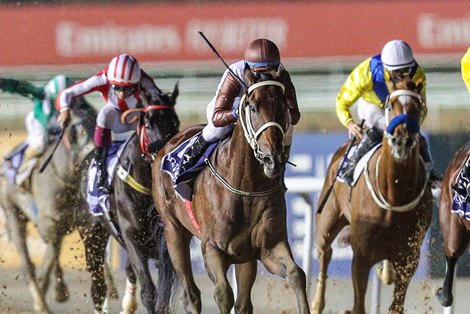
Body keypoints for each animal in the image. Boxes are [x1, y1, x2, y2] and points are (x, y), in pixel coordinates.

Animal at [0, 102, 96, 312]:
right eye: (82, 130)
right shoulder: (49, 223)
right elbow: (51, 251)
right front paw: (45, 294)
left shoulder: (72, 222)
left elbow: (54, 252)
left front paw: (57, 290)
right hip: (13, 213)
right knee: (27, 261)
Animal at [76, 83, 181, 314]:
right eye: (148, 124)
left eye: (176, 123)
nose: (165, 154)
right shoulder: (134, 239)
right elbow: (150, 293)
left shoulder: (163, 243)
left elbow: (165, 292)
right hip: (92, 237)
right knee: (98, 288)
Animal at [152, 67, 310, 314]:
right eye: (253, 107)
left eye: (283, 106)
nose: (273, 160)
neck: (246, 188)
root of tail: (165, 146)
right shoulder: (212, 248)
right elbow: (223, 293)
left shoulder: (269, 247)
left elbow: (296, 274)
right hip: (173, 230)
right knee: (191, 295)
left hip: (245, 256)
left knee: (244, 302)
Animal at [312, 79, 434, 314]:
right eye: (391, 105)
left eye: (418, 106)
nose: (402, 141)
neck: (394, 194)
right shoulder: (361, 256)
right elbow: (358, 305)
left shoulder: (409, 258)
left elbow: (396, 306)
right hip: (327, 218)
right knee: (325, 252)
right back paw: (315, 304)